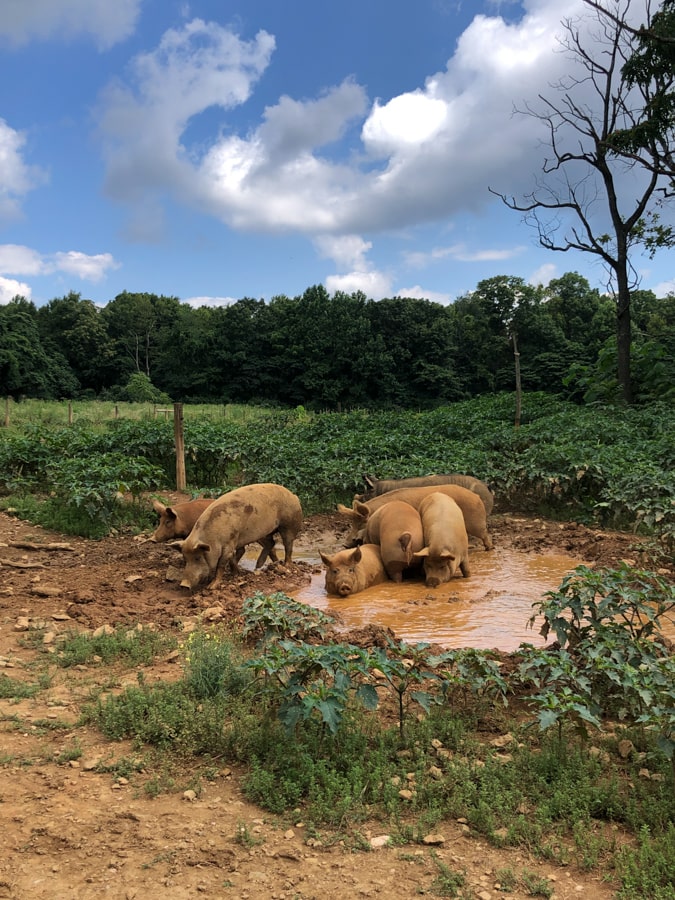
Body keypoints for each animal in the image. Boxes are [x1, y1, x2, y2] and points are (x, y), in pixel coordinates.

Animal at [338, 483, 493, 551]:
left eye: (361, 524)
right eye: (351, 523)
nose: (345, 544)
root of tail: (476, 496)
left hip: (475, 522)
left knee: (484, 533)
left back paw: (489, 548)